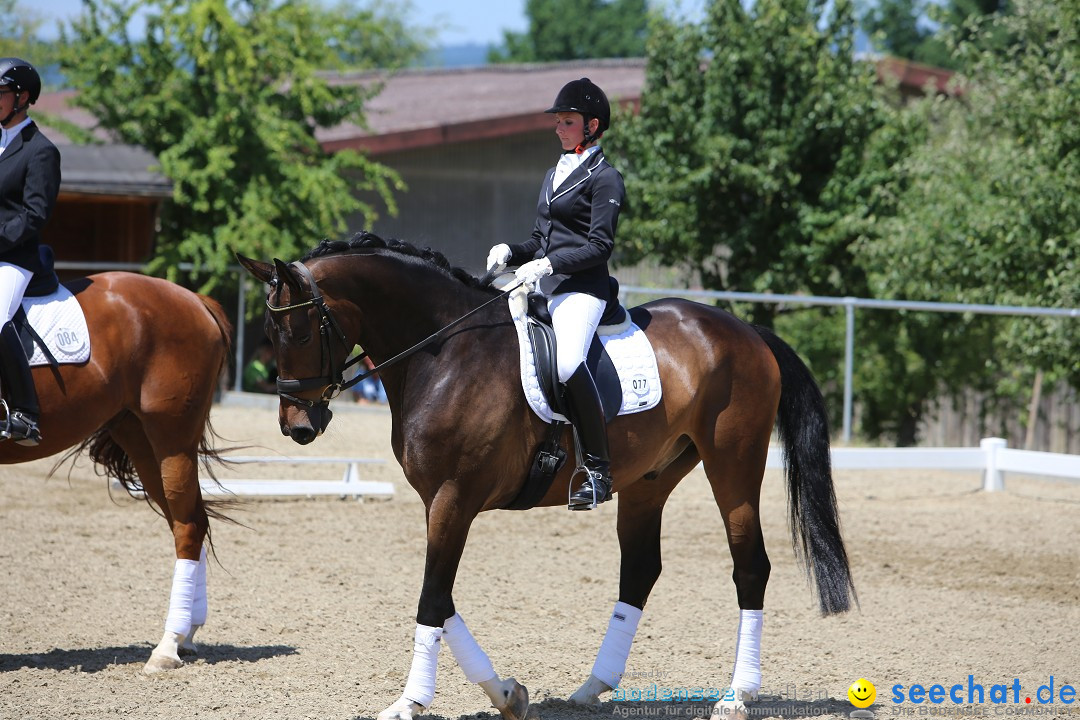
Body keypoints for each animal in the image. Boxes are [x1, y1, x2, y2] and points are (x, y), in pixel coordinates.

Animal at [0, 269, 234, 677]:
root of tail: (196, 299)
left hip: (171, 437)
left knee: (188, 526)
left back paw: (167, 647)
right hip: (138, 437)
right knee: (191, 521)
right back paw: (187, 634)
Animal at [236, 232, 851, 720]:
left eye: (297, 332)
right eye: (267, 328)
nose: (297, 426)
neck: (444, 353)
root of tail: (744, 329)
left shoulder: (455, 497)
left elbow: (433, 598)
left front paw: (409, 702)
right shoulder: (436, 500)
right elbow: (442, 596)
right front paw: (508, 693)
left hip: (733, 462)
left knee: (750, 566)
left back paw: (737, 695)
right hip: (651, 477)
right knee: (640, 570)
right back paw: (592, 688)